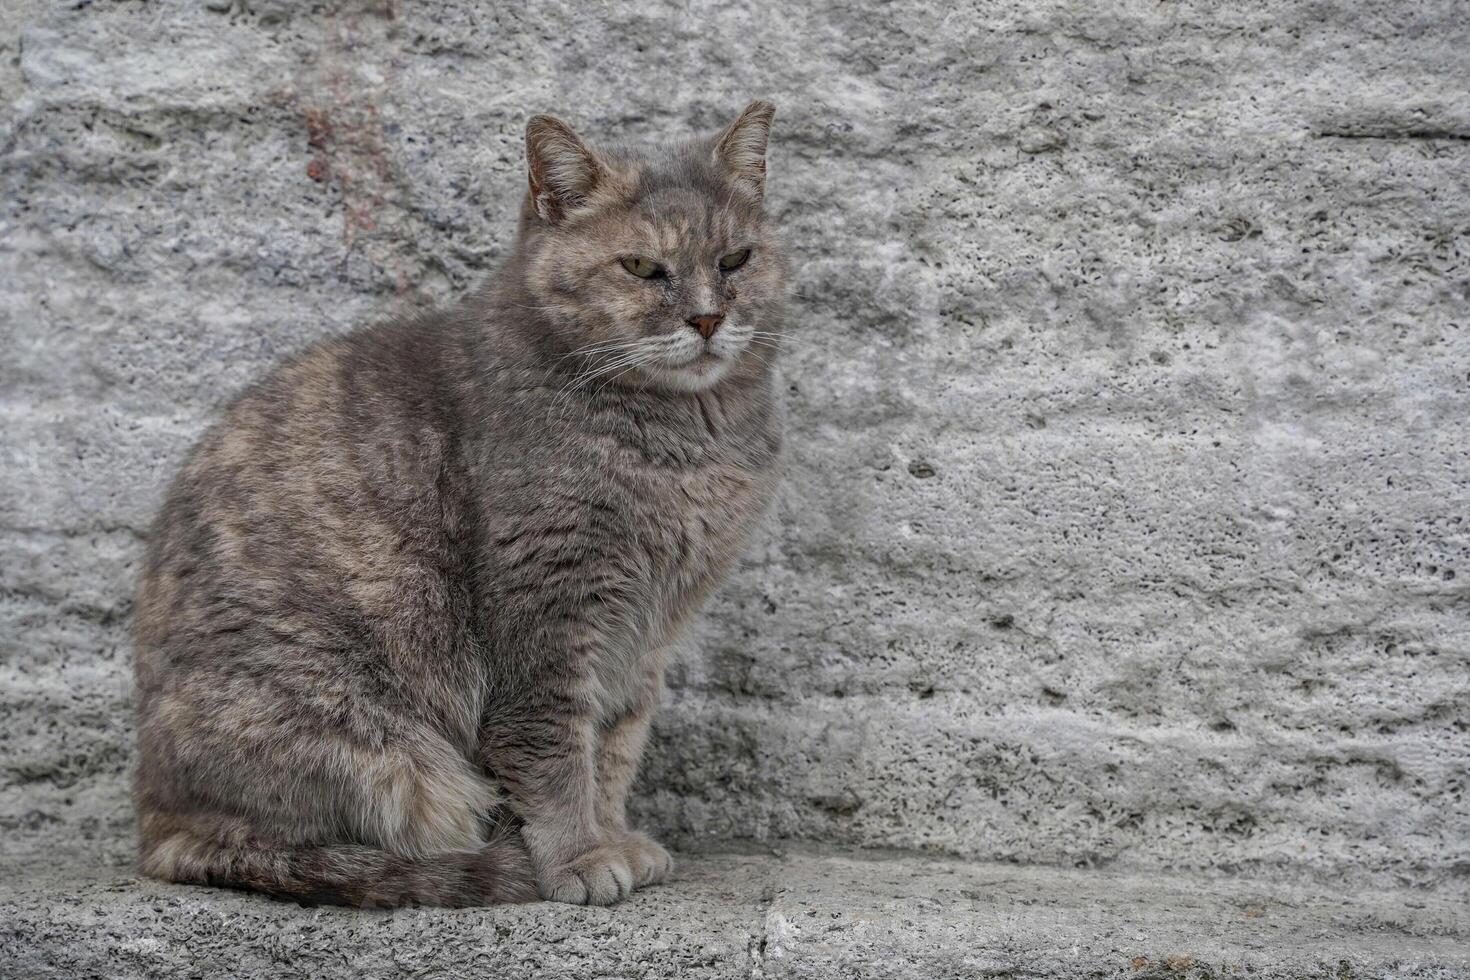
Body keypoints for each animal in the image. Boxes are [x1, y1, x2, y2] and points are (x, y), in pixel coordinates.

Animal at [132, 103, 787, 910]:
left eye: (736, 259)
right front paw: (580, 857)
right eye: (640, 268)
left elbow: (615, 746)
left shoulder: (646, 635)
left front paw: (615, 837)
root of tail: (155, 820)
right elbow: (554, 752)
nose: (706, 319)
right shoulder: (547, 611)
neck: (685, 440)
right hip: (374, 743)